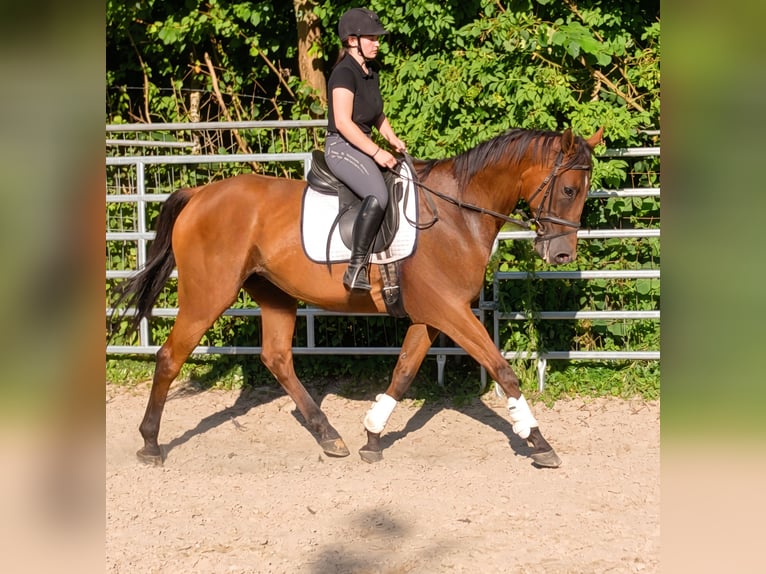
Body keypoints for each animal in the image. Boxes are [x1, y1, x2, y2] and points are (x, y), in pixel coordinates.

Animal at [112, 126, 603, 468]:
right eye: (568, 189)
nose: (561, 254)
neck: (455, 214)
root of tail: (199, 194)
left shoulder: (432, 315)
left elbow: (403, 373)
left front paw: (372, 436)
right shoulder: (450, 311)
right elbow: (503, 370)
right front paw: (538, 441)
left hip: (274, 294)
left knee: (277, 358)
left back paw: (329, 435)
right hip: (207, 295)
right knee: (170, 358)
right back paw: (150, 443)